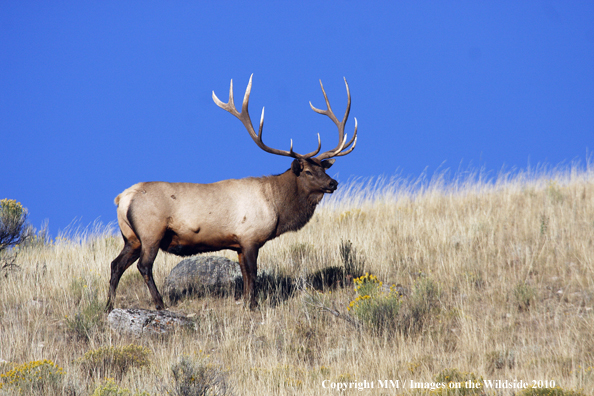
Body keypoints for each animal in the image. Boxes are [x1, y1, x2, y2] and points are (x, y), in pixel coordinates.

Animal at [105, 75, 356, 312]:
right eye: (307, 172)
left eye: (324, 168)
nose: (333, 183)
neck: (276, 207)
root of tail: (122, 198)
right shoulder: (250, 236)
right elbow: (252, 273)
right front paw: (253, 305)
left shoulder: (238, 243)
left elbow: (244, 274)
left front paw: (246, 302)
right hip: (151, 231)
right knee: (144, 265)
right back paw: (159, 304)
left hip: (131, 237)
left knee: (116, 264)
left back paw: (109, 305)